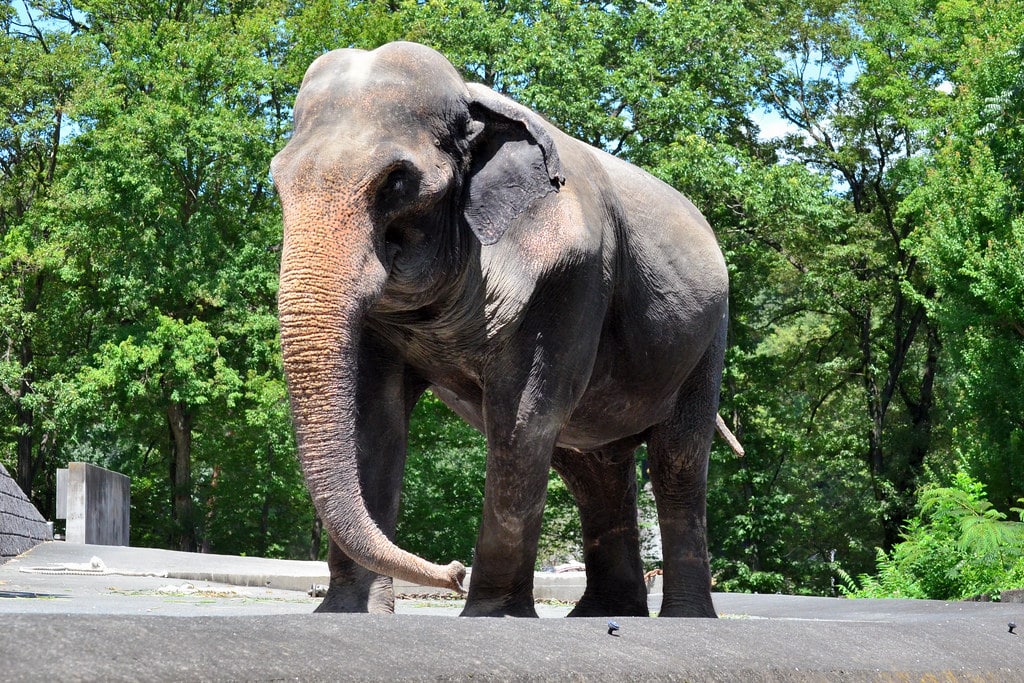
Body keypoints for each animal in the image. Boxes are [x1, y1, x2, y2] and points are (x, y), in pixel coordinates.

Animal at [271, 41, 732, 618]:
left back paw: (682, 617)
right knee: (592, 466)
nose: (452, 572)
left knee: (677, 461)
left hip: (706, 342)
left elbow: (523, 416)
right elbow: (374, 418)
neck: (473, 99)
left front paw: (490, 615)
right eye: (277, 180)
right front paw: (348, 614)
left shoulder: (570, 280)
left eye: (397, 181)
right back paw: (603, 613)